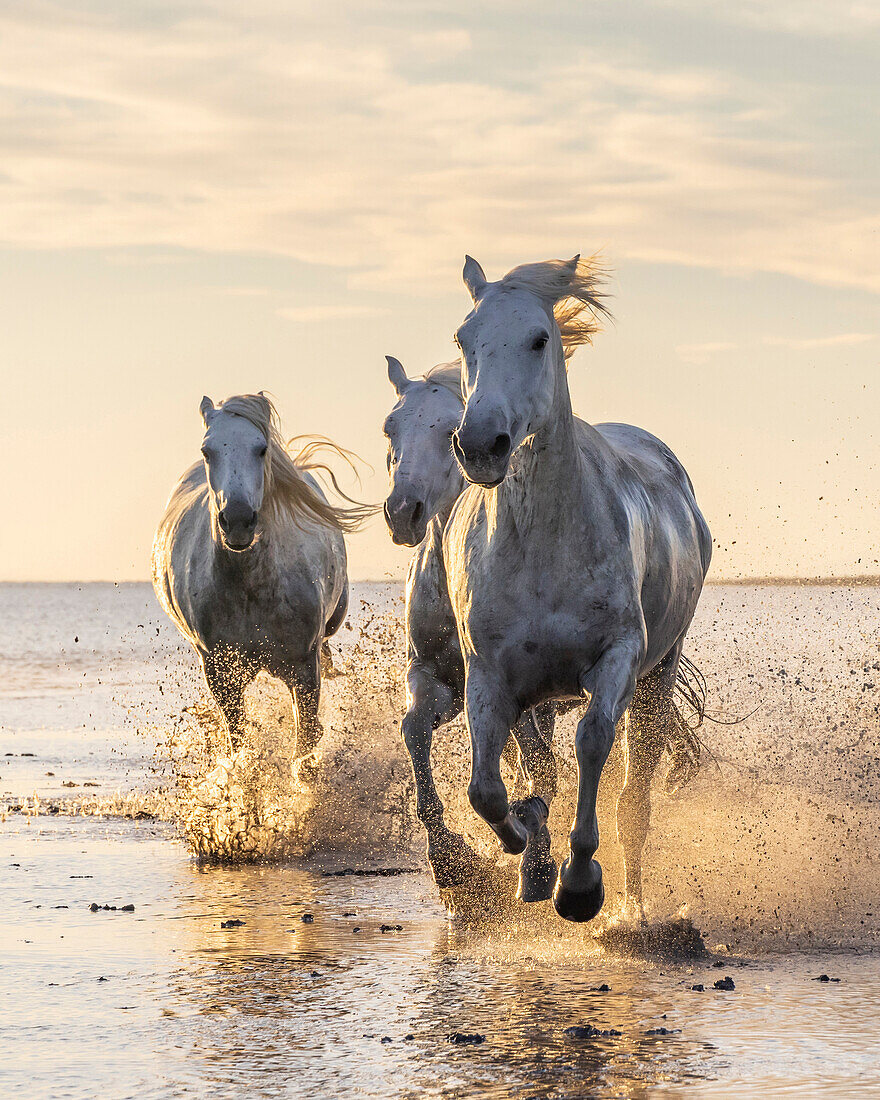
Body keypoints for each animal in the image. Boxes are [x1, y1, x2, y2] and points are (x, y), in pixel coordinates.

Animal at [152, 396, 369, 774]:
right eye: (207, 450)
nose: (238, 521)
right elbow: (242, 747)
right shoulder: (221, 673)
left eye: (261, 448)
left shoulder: (304, 668)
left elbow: (305, 747)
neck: (250, 589)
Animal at [444, 255, 712, 919]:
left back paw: (631, 908)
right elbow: (488, 787)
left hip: (658, 676)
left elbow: (592, 744)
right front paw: (524, 842)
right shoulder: (489, 673)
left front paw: (581, 881)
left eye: (540, 339)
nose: (479, 444)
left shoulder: (616, 658)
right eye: (463, 339)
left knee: (634, 799)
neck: (546, 547)